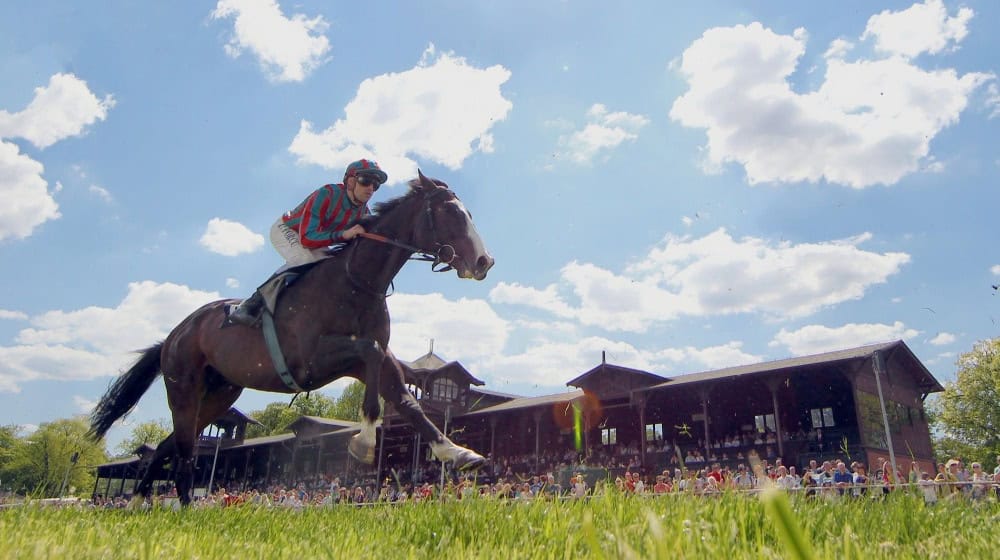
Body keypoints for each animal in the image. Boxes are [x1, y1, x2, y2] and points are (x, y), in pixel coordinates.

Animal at [88, 173, 494, 506]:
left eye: (470, 213)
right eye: (450, 213)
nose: (484, 261)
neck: (356, 282)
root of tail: (174, 334)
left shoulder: (364, 362)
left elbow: (408, 402)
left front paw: (459, 453)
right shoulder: (311, 359)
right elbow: (372, 353)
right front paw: (363, 443)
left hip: (220, 394)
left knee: (170, 444)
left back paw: (142, 502)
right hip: (184, 386)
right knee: (186, 449)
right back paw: (183, 507)